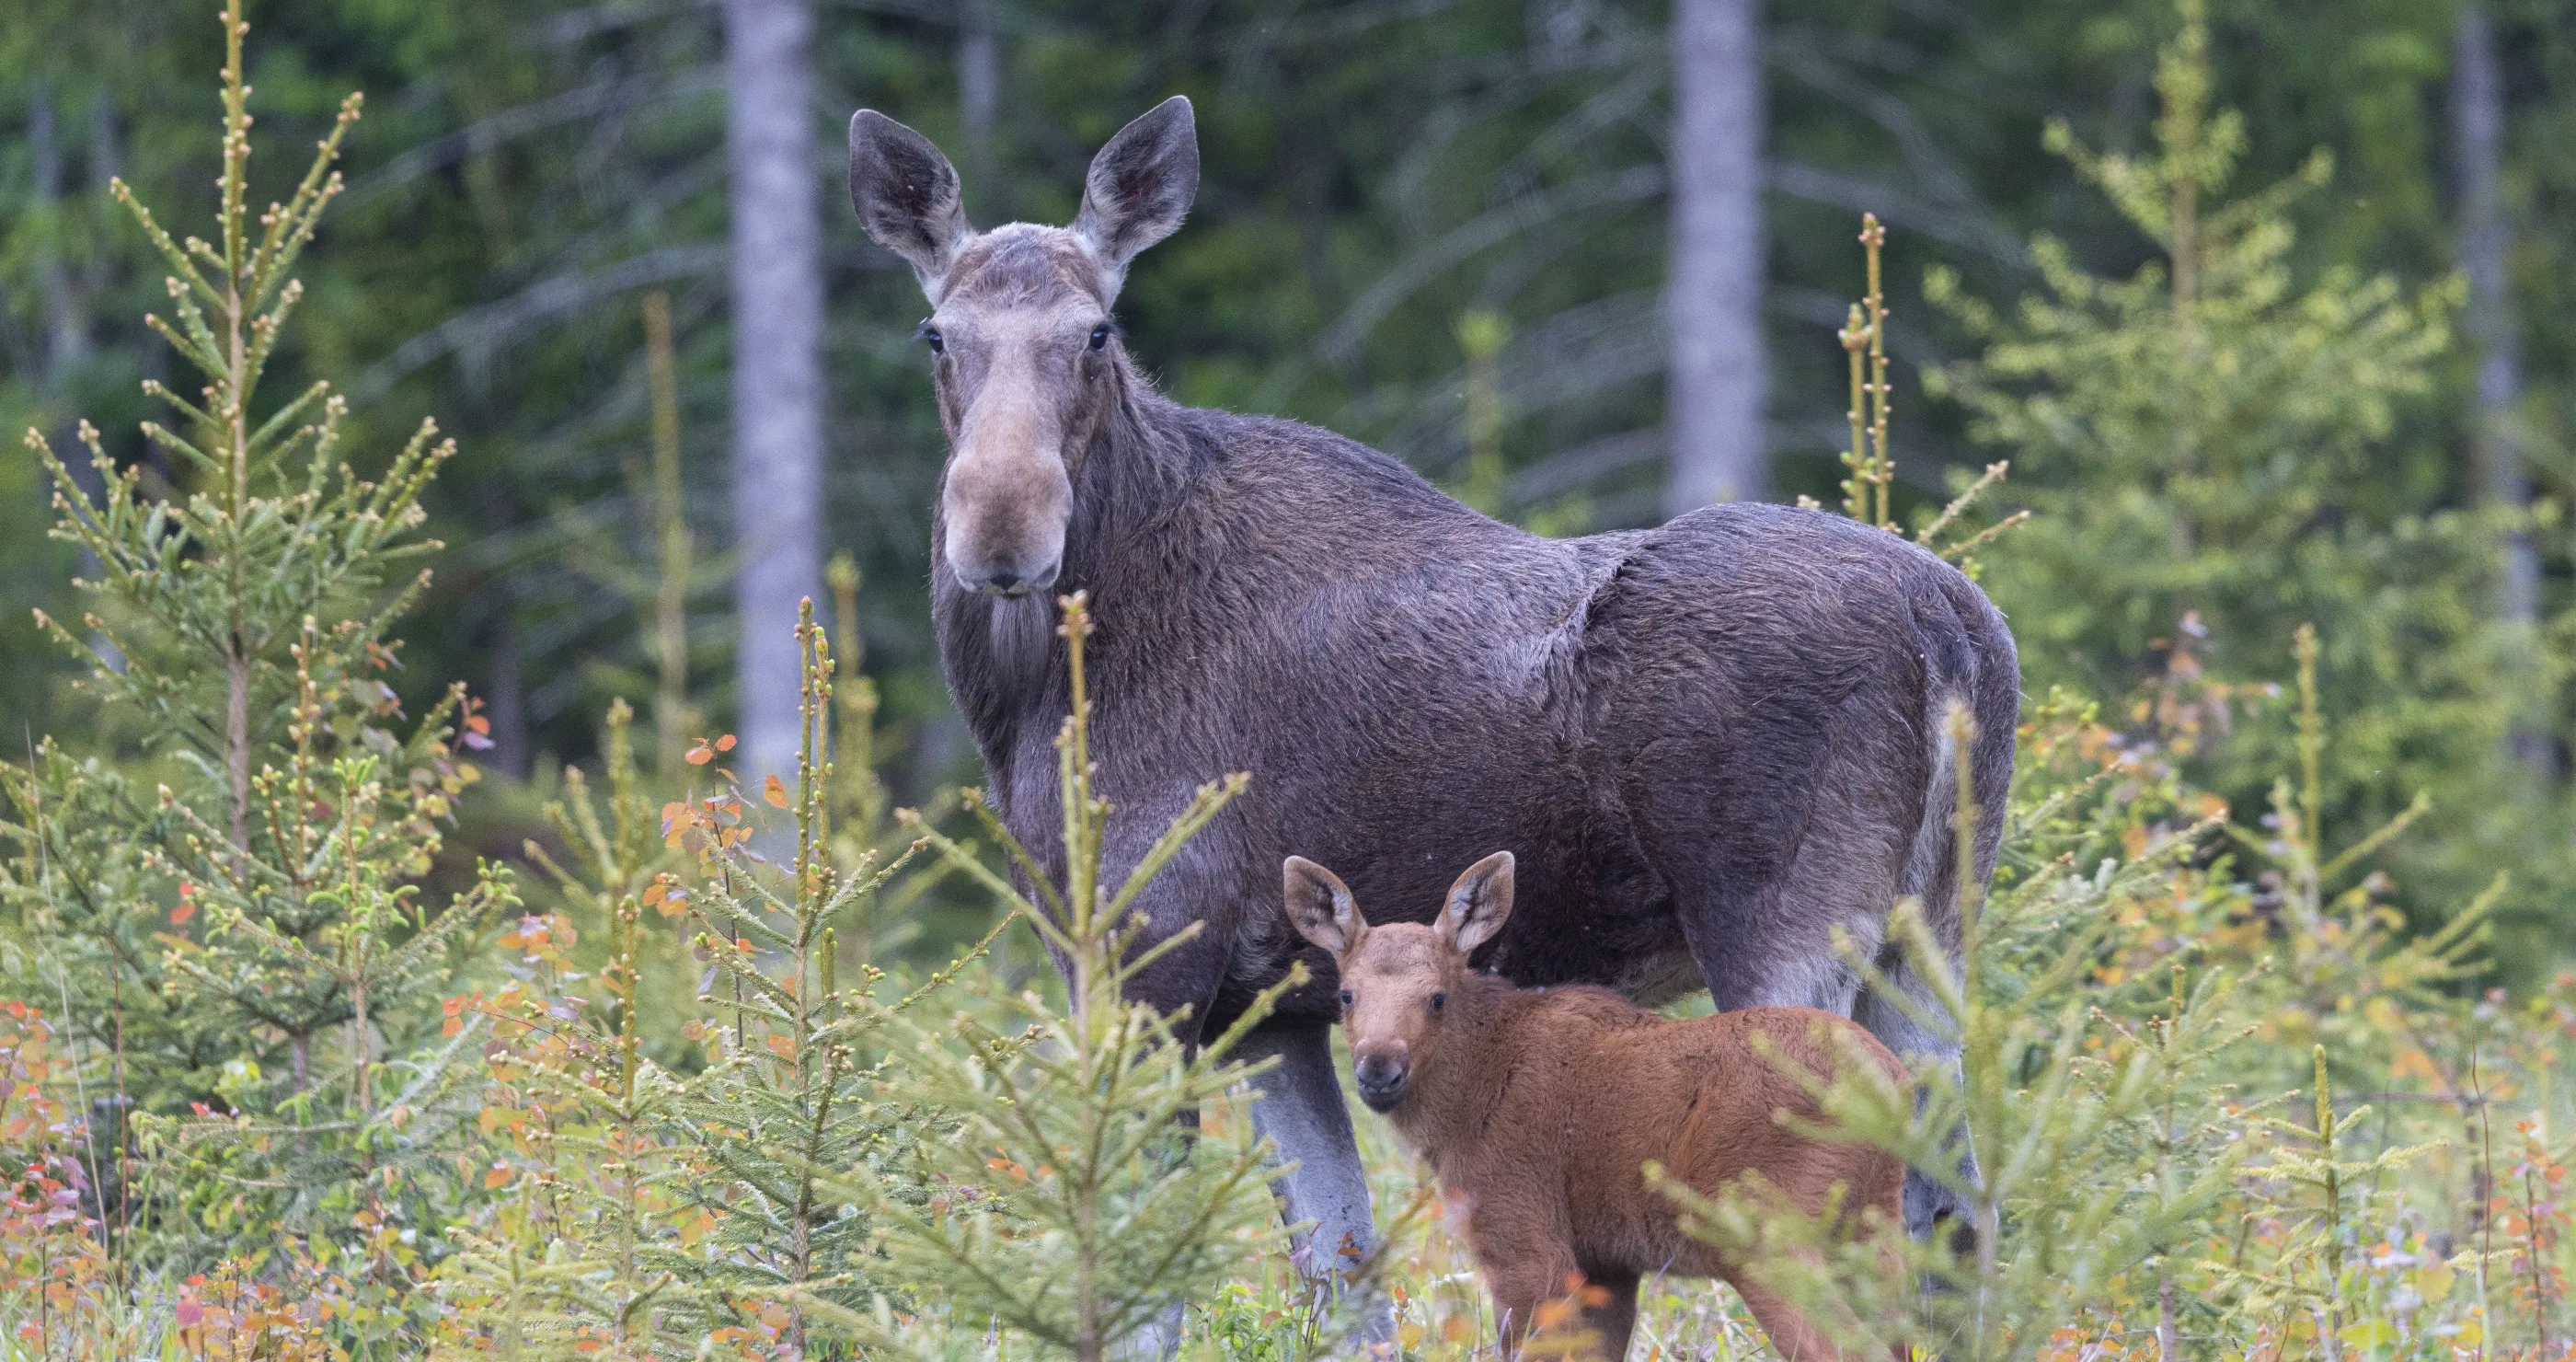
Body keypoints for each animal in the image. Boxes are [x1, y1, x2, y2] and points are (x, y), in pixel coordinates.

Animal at [1288, 854, 1916, 1349]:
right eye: (1347, 995)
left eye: (1436, 997)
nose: (1378, 1070)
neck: (1463, 1103)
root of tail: (1889, 1086)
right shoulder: (1606, 1266)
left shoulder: (1522, 1241)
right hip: (1874, 1236)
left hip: (1772, 1242)